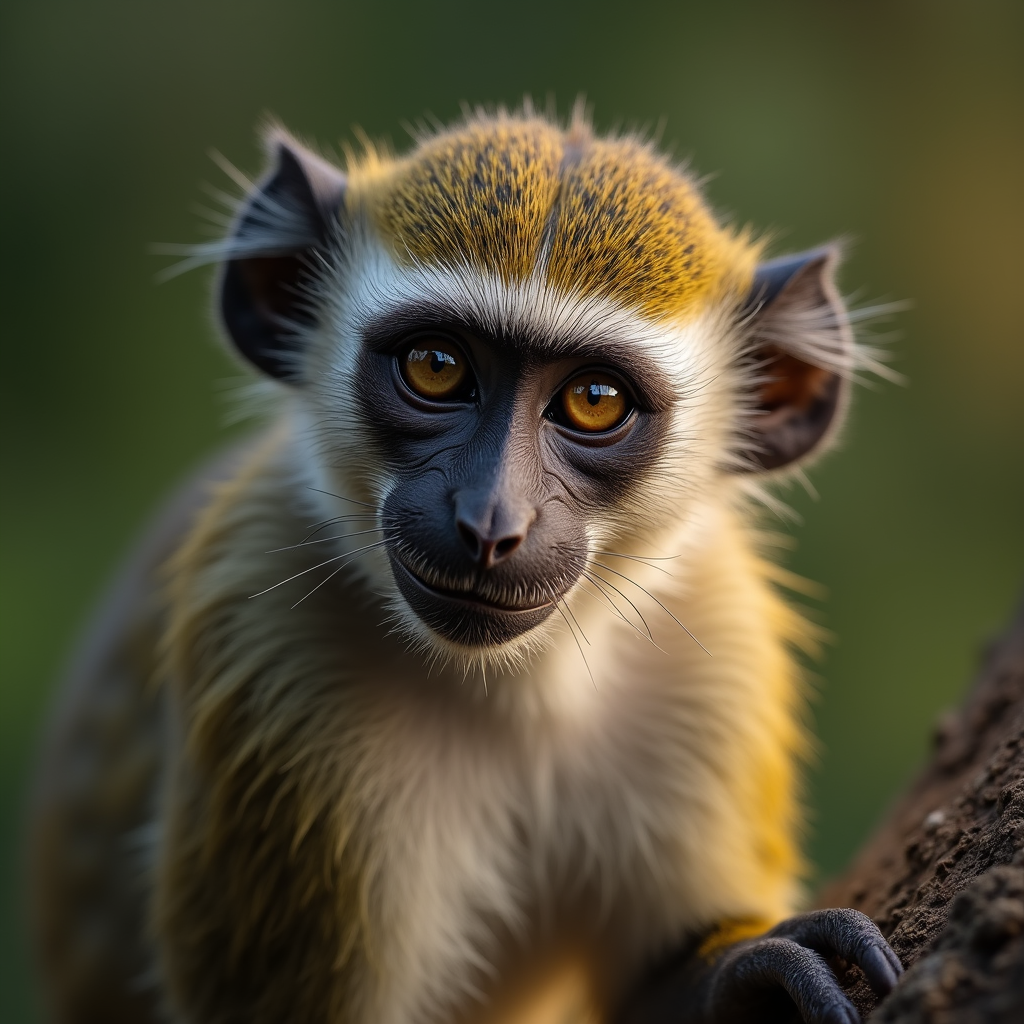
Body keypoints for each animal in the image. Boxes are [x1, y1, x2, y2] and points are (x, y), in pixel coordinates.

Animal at [29, 105, 904, 1024]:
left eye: (594, 401)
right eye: (437, 367)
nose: (490, 521)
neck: (520, 688)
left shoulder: (717, 650)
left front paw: (741, 971)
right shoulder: (269, 645)